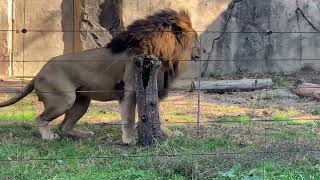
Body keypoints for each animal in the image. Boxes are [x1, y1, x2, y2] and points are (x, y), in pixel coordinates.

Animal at [0, 8, 199, 145]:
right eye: (196, 40)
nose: (202, 52)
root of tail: (38, 74)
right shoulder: (130, 89)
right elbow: (129, 118)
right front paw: (129, 140)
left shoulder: (152, 89)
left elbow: (159, 115)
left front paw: (171, 134)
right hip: (64, 99)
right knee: (40, 119)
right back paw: (49, 136)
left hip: (82, 101)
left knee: (64, 127)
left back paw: (83, 134)